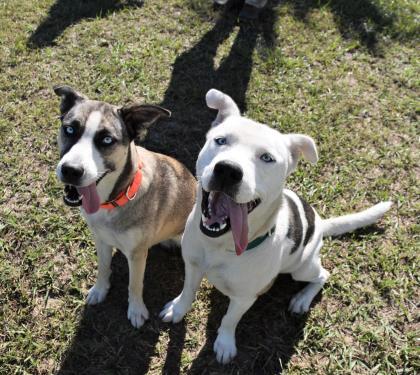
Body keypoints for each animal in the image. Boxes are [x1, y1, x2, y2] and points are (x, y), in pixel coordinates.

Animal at [160, 89, 390, 364]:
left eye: (267, 158)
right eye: (220, 140)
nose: (228, 170)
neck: (219, 245)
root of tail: (320, 222)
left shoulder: (244, 298)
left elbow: (229, 320)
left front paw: (225, 343)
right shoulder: (193, 266)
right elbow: (187, 292)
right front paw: (178, 309)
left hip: (302, 267)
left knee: (323, 275)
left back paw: (302, 299)